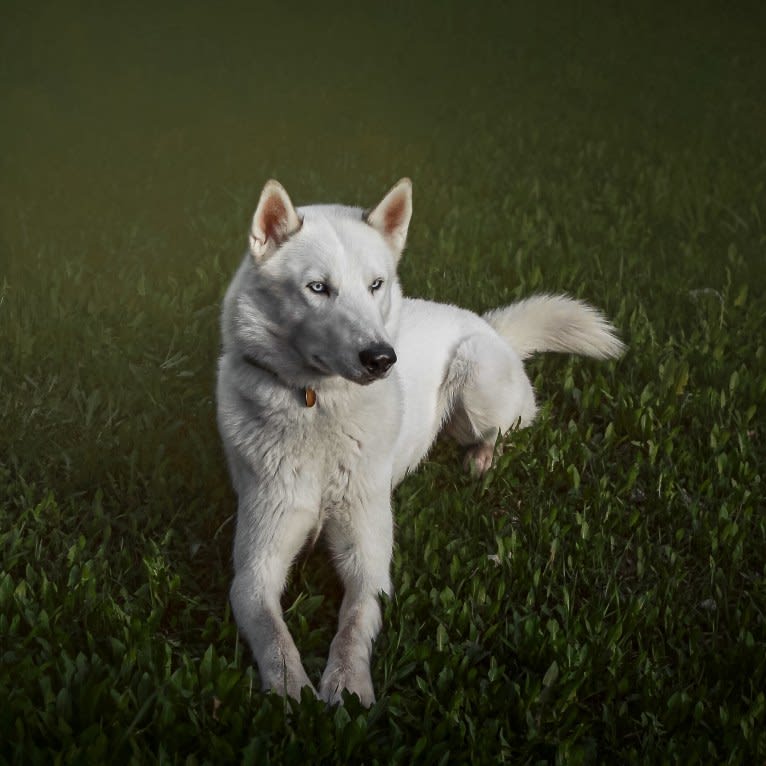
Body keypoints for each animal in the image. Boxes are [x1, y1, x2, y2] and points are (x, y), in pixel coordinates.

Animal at [216, 177, 624, 704]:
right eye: (318, 288)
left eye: (375, 284)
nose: (381, 358)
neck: (318, 407)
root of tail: (489, 324)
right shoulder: (254, 569)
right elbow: (271, 632)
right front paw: (291, 690)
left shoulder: (368, 561)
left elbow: (355, 620)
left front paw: (346, 684)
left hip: (475, 377)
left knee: (505, 430)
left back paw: (480, 460)